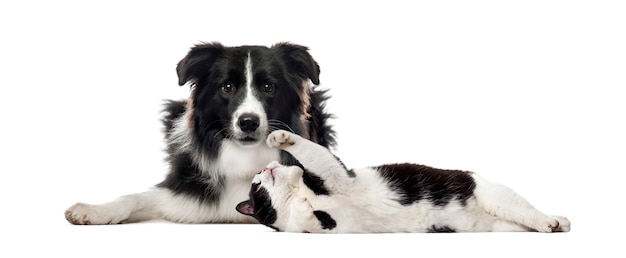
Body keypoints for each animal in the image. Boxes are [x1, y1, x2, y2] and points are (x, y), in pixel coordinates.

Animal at [64, 41, 334, 224]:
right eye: (227, 87)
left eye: (269, 87)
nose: (248, 122)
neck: (243, 155)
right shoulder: (184, 193)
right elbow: (135, 198)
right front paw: (92, 210)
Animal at [235, 130, 572, 233]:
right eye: (256, 185)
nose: (264, 167)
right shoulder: (335, 222)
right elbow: (307, 220)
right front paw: (305, 212)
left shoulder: (335, 174)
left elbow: (309, 150)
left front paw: (280, 136)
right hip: (500, 226)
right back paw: (557, 223)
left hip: (498, 196)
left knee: (532, 213)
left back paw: (554, 222)